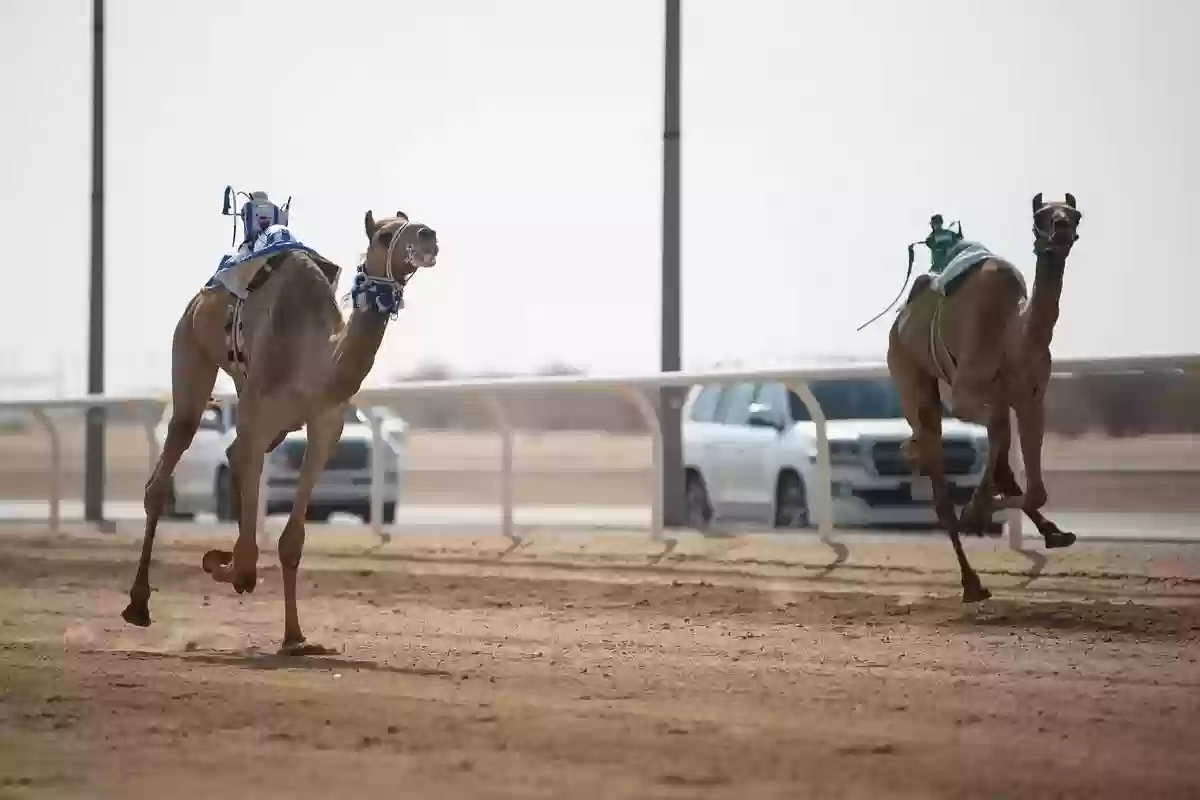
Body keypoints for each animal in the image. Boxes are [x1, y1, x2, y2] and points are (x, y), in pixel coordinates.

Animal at [115, 209, 436, 652]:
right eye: (385, 236)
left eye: (418, 223)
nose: (428, 236)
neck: (314, 361)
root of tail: (201, 298)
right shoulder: (258, 414)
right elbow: (250, 557)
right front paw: (223, 565)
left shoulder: (325, 428)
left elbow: (291, 540)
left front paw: (295, 636)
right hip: (191, 347)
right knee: (169, 465)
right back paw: (139, 604)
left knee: (230, 457)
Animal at [888, 190, 1084, 597]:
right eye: (1041, 216)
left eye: (1075, 214)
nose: (1060, 229)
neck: (1012, 337)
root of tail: (898, 324)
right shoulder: (966, 395)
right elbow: (998, 434)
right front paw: (975, 513)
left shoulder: (1031, 398)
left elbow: (1035, 486)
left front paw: (982, 512)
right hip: (908, 372)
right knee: (938, 464)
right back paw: (971, 583)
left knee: (998, 453)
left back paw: (1050, 533)